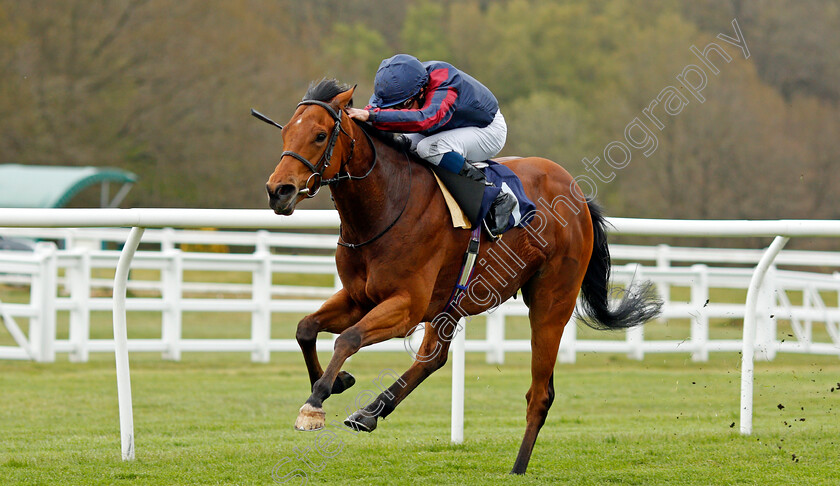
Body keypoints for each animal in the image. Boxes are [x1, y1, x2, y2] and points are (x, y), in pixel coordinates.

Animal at [260, 80, 660, 474]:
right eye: (285, 133)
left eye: (320, 135)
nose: (278, 191)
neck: (386, 204)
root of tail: (577, 193)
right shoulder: (360, 297)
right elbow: (306, 327)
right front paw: (337, 382)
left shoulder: (406, 307)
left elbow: (348, 339)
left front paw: (315, 404)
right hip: (452, 302)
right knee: (432, 359)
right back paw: (371, 412)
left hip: (551, 302)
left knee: (540, 393)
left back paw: (517, 467)